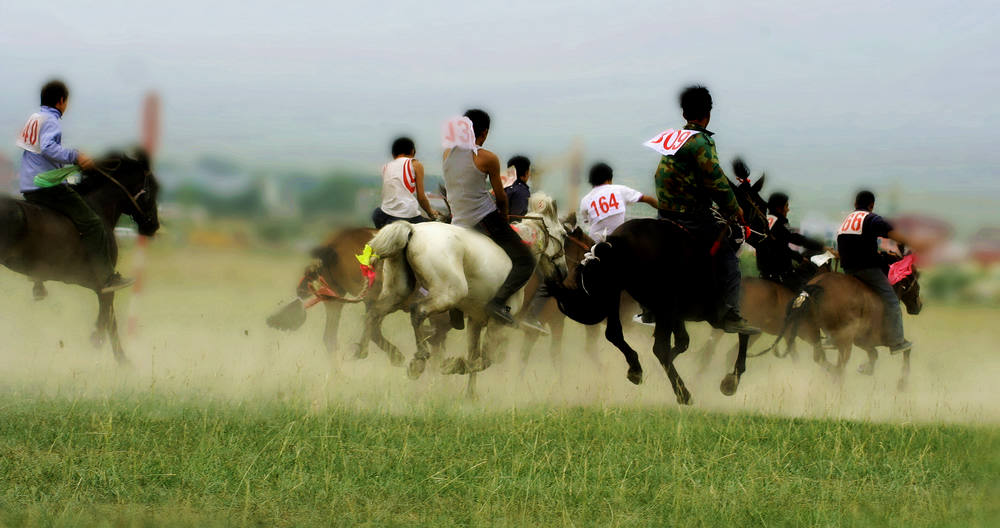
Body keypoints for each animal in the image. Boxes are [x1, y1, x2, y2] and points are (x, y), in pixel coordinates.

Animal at [0, 153, 159, 366]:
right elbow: (109, 312)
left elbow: (109, 315)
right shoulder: (101, 279)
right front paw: (105, 346)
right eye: (153, 188)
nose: (154, 226)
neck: (99, 207)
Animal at [360, 193, 568, 396]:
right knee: (417, 311)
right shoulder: (497, 323)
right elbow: (486, 359)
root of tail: (413, 230)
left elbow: (474, 354)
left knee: (374, 313)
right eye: (564, 234)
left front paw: (470, 393)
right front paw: (454, 365)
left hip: (398, 292)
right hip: (448, 294)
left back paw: (367, 351)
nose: (564, 272)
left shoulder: (475, 320)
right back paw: (418, 360)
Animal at [552, 165, 768, 404]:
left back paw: (636, 368)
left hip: (616, 292)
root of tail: (616, 242)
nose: (767, 231)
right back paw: (683, 393)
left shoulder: (676, 314)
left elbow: (683, 342)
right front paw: (731, 380)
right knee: (658, 348)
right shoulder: (712, 312)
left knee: (615, 333)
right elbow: (743, 331)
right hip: (661, 304)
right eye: (762, 205)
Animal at [772, 262, 920, 390]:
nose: (919, 306)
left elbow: (873, 354)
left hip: (814, 332)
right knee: (840, 366)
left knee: (822, 358)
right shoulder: (882, 338)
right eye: (917, 286)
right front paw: (902, 383)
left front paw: (865, 369)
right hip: (845, 340)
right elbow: (905, 349)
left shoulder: (862, 341)